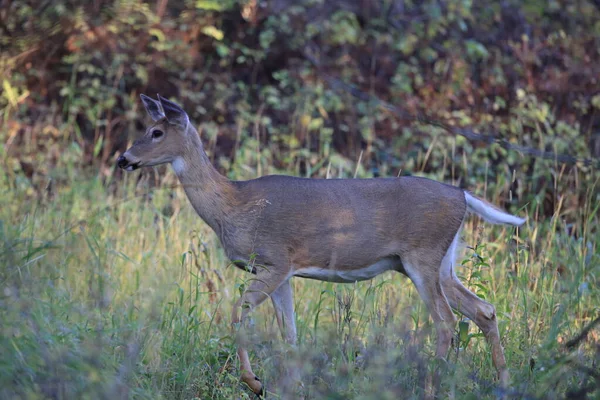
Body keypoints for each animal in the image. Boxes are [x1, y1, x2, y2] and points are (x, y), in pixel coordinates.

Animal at [117, 94, 524, 396]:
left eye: (155, 131)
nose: (124, 158)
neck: (233, 206)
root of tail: (462, 195)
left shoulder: (275, 260)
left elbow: (236, 315)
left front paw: (255, 383)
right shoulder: (281, 272)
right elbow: (290, 334)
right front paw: (286, 387)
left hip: (422, 257)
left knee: (446, 322)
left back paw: (431, 390)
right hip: (442, 263)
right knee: (484, 310)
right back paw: (504, 385)